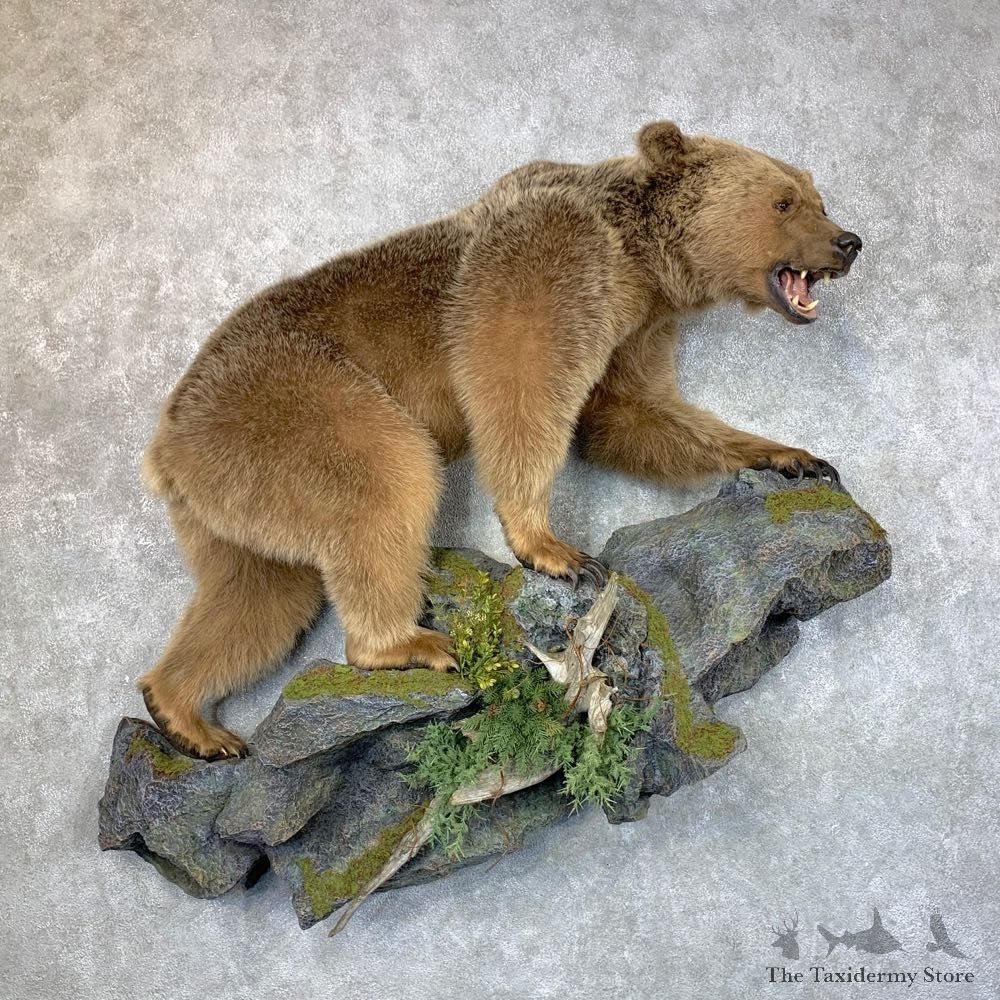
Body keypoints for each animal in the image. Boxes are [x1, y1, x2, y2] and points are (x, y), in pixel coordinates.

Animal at [138, 121, 862, 759]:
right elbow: (521, 388)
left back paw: (187, 716)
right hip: (292, 407)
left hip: (235, 496)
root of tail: (163, 454)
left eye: (818, 198)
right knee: (387, 481)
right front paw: (552, 549)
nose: (848, 241)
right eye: (784, 200)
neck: (639, 263)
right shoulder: (550, 264)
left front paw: (792, 457)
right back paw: (405, 643)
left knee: (258, 595)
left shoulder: (636, 331)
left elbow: (634, 415)